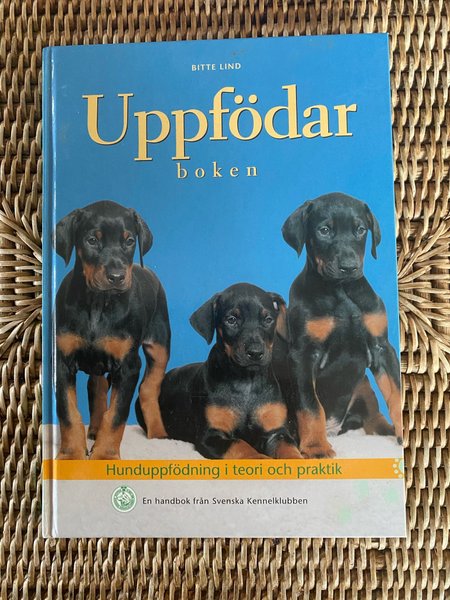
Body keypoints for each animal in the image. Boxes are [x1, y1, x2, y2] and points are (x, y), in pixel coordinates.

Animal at [54, 200, 170, 460]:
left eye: (129, 241)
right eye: (92, 240)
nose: (116, 277)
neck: (98, 303)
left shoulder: (128, 365)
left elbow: (117, 415)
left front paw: (105, 455)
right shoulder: (63, 360)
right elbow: (68, 412)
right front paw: (71, 454)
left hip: (160, 344)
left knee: (149, 388)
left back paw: (158, 434)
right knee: (96, 385)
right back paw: (94, 429)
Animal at [141, 283, 301, 459]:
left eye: (268, 320)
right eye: (231, 320)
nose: (255, 353)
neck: (246, 381)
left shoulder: (276, 432)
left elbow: (289, 449)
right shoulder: (211, 436)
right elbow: (240, 444)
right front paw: (260, 458)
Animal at [276, 192, 402, 458]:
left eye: (360, 230)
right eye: (324, 230)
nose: (349, 267)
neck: (342, 291)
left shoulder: (381, 347)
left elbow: (396, 394)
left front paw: (405, 433)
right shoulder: (303, 355)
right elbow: (311, 405)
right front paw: (316, 446)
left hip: (363, 385)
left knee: (373, 416)